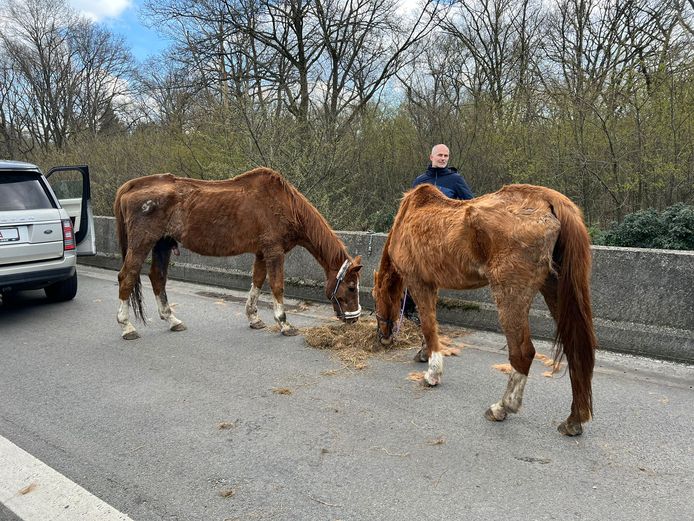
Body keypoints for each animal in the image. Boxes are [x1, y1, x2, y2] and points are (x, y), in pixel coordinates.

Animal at [113, 166, 364, 338]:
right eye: (351, 287)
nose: (354, 319)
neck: (285, 204)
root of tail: (132, 185)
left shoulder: (262, 253)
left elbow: (257, 282)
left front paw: (254, 318)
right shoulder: (274, 251)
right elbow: (276, 286)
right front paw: (284, 323)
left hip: (162, 245)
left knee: (157, 278)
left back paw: (172, 320)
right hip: (142, 244)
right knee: (127, 277)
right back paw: (127, 326)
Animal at [376, 183, 600, 434]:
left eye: (376, 298)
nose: (383, 338)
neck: (409, 215)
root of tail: (548, 199)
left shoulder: (419, 283)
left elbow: (428, 325)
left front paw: (433, 372)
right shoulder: (432, 284)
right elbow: (431, 322)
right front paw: (424, 354)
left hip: (510, 295)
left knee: (523, 352)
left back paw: (502, 407)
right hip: (554, 288)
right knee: (574, 348)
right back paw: (574, 419)